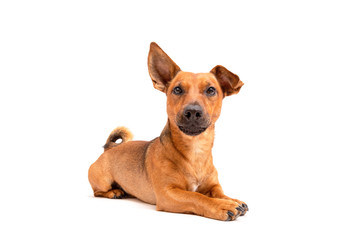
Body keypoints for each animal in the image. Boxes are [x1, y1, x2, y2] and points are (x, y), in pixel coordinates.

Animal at [88, 42, 249, 220]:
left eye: (211, 90)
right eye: (177, 89)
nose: (193, 111)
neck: (195, 150)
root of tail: (110, 148)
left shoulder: (213, 186)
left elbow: (220, 193)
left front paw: (231, 200)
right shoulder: (168, 194)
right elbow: (196, 196)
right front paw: (221, 206)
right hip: (102, 181)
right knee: (98, 192)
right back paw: (114, 192)